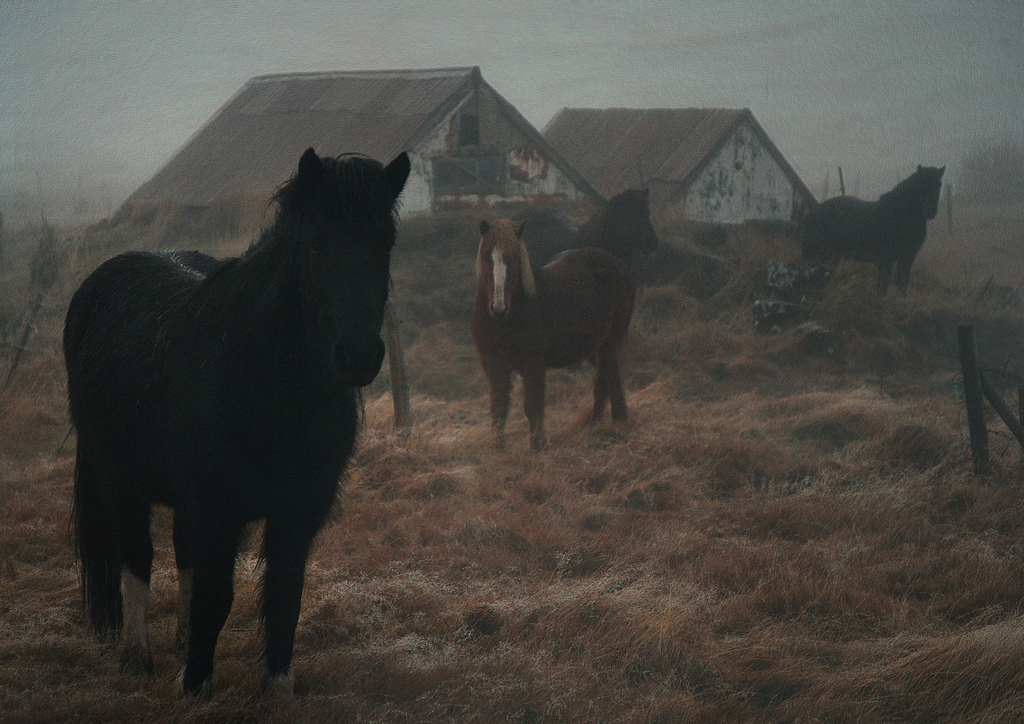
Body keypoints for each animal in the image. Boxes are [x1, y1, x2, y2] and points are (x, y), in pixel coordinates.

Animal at [65, 147, 411, 696]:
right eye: (315, 243)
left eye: (386, 243)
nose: (358, 355)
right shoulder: (216, 507)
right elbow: (216, 595)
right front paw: (195, 689)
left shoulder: (296, 512)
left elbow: (284, 596)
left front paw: (278, 689)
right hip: (119, 481)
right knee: (138, 559)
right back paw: (138, 656)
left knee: (183, 555)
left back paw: (182, 643)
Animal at [468, 218, 630, 450]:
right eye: (485, 256)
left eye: (514, 258)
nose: (499, 307)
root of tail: (617, 263)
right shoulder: (493, 363)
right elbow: (498, 407)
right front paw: (498, 447)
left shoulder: (533, 363)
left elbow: (532, 405)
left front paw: (538, 445)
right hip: (594, 348)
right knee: (610, 377)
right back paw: (612, 421)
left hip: (610, 342)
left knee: (606, 380)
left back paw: (601, 425)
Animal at [798, 163, 942, 290]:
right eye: (921, 184)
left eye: (939, 185)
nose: (931, 211)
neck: (899, 214)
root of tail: (812, 213)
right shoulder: (887, 259)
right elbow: (882, 286)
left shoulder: (907, 259)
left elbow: (902, 286)